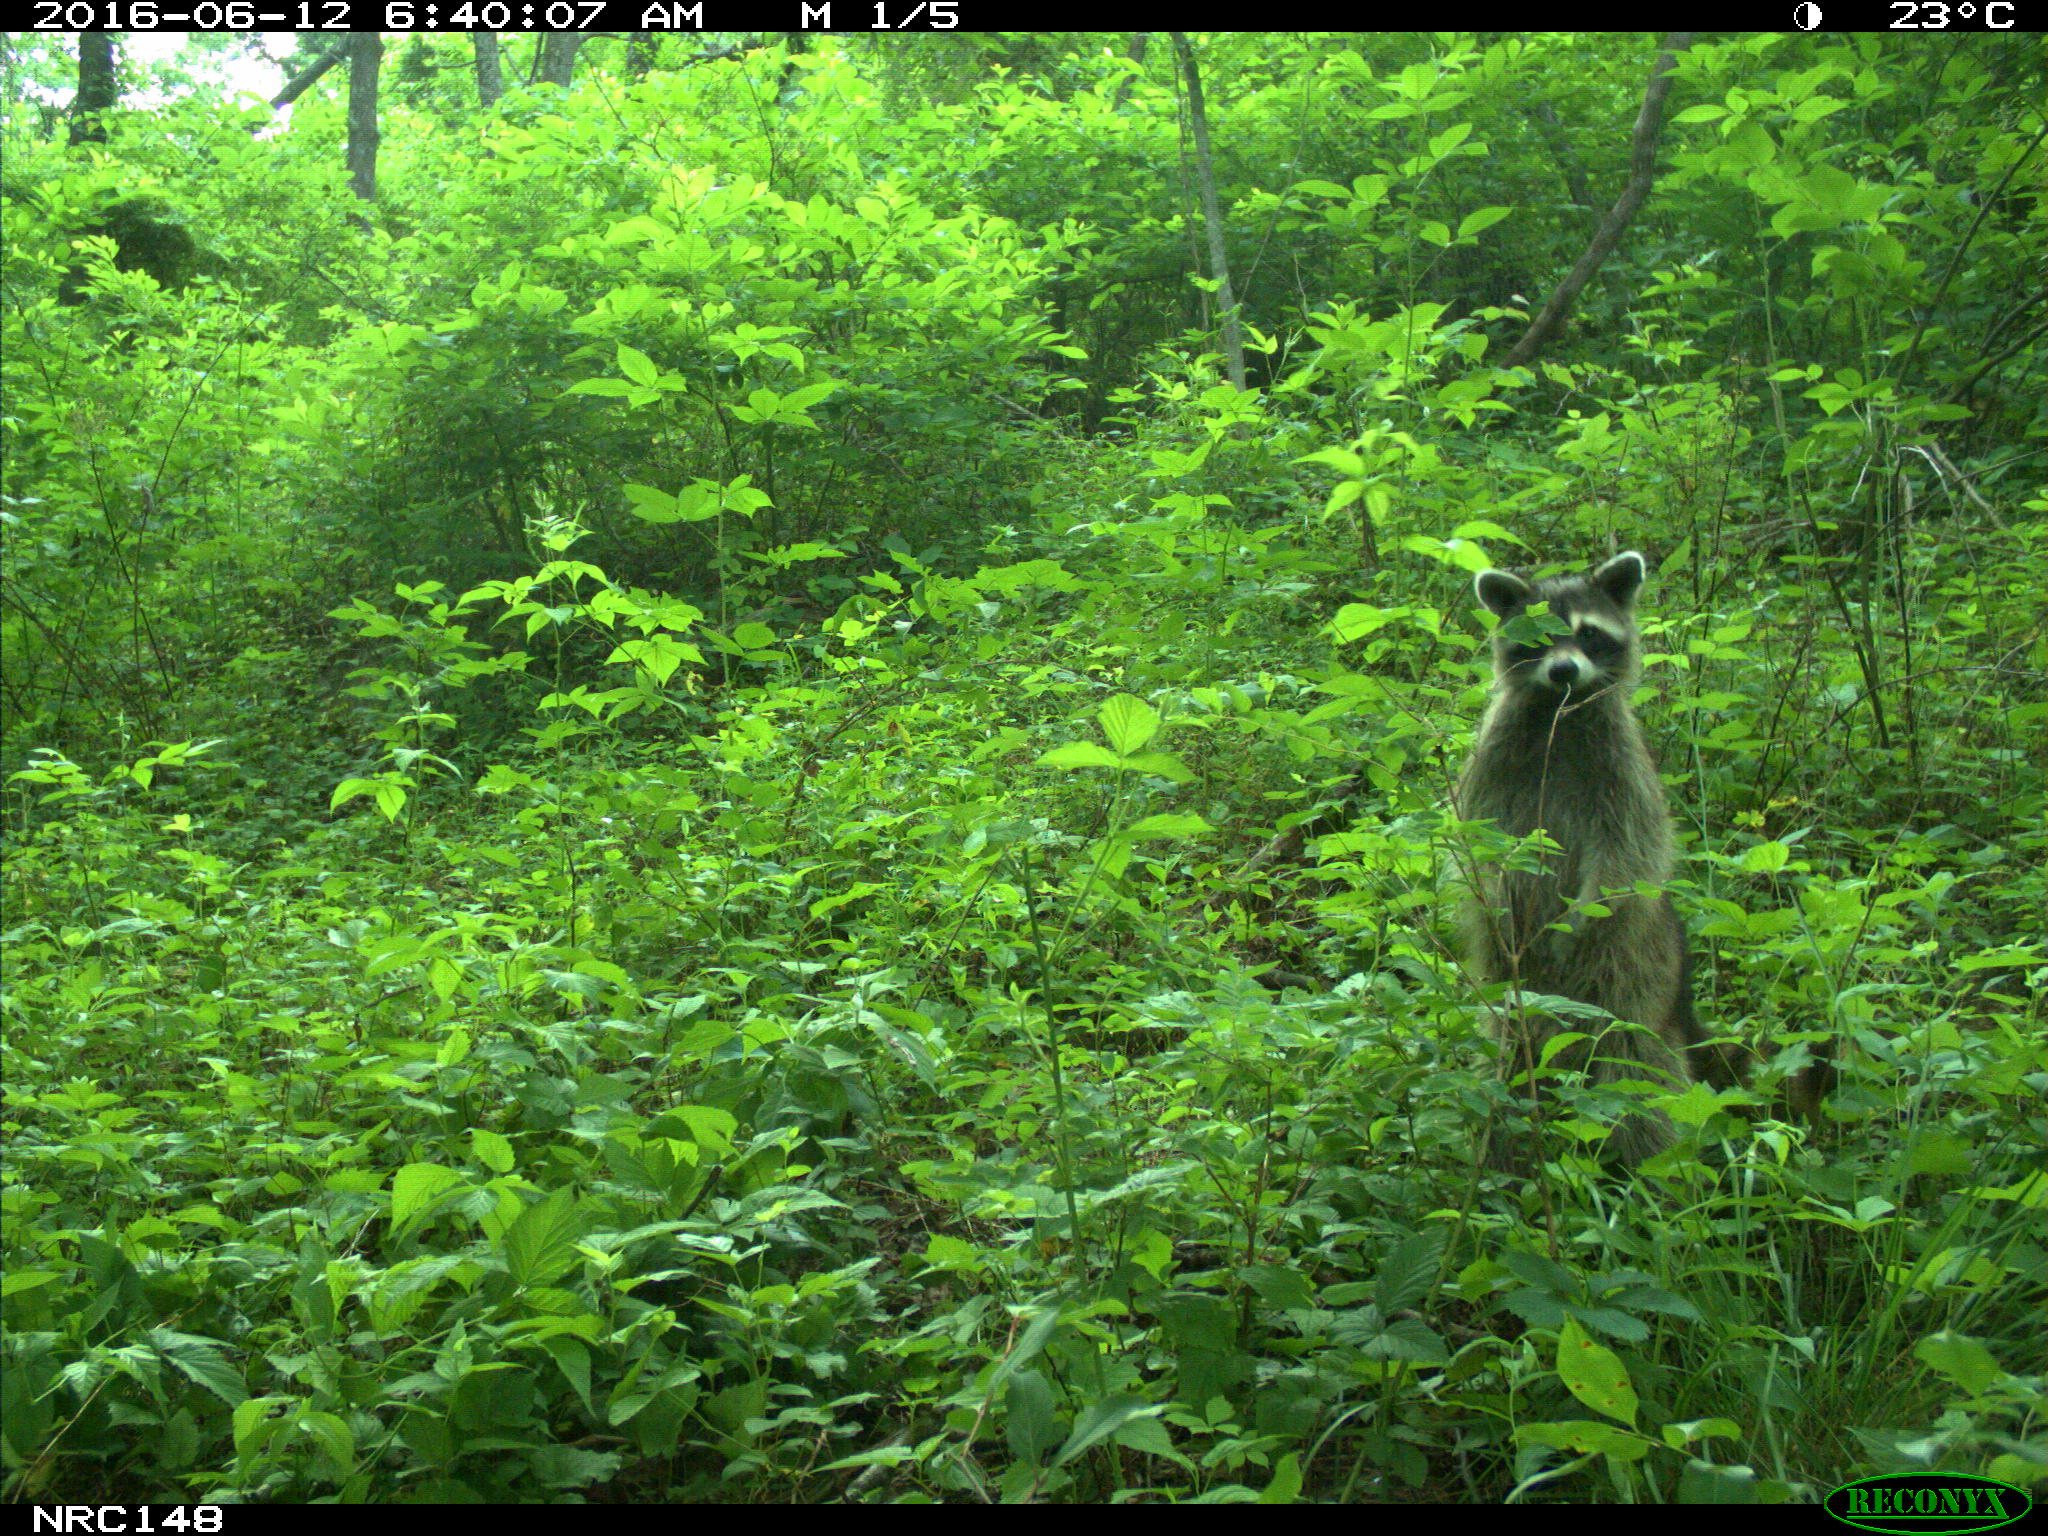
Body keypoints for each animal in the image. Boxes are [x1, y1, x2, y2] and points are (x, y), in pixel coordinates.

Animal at [1458, 548, 1712, 1163]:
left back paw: (1655, 1168)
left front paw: (1580, 918)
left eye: (1589, 634)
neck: (1561, 712)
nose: (1565, 671)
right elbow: (1483, 844)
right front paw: (1498, 896)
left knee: (1640, 1070)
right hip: (1512, 994)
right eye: (1537, 638)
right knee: (1502, 1056)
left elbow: (1629, 851)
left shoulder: (1622, 766)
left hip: (1638, 974)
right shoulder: (1495, 758)